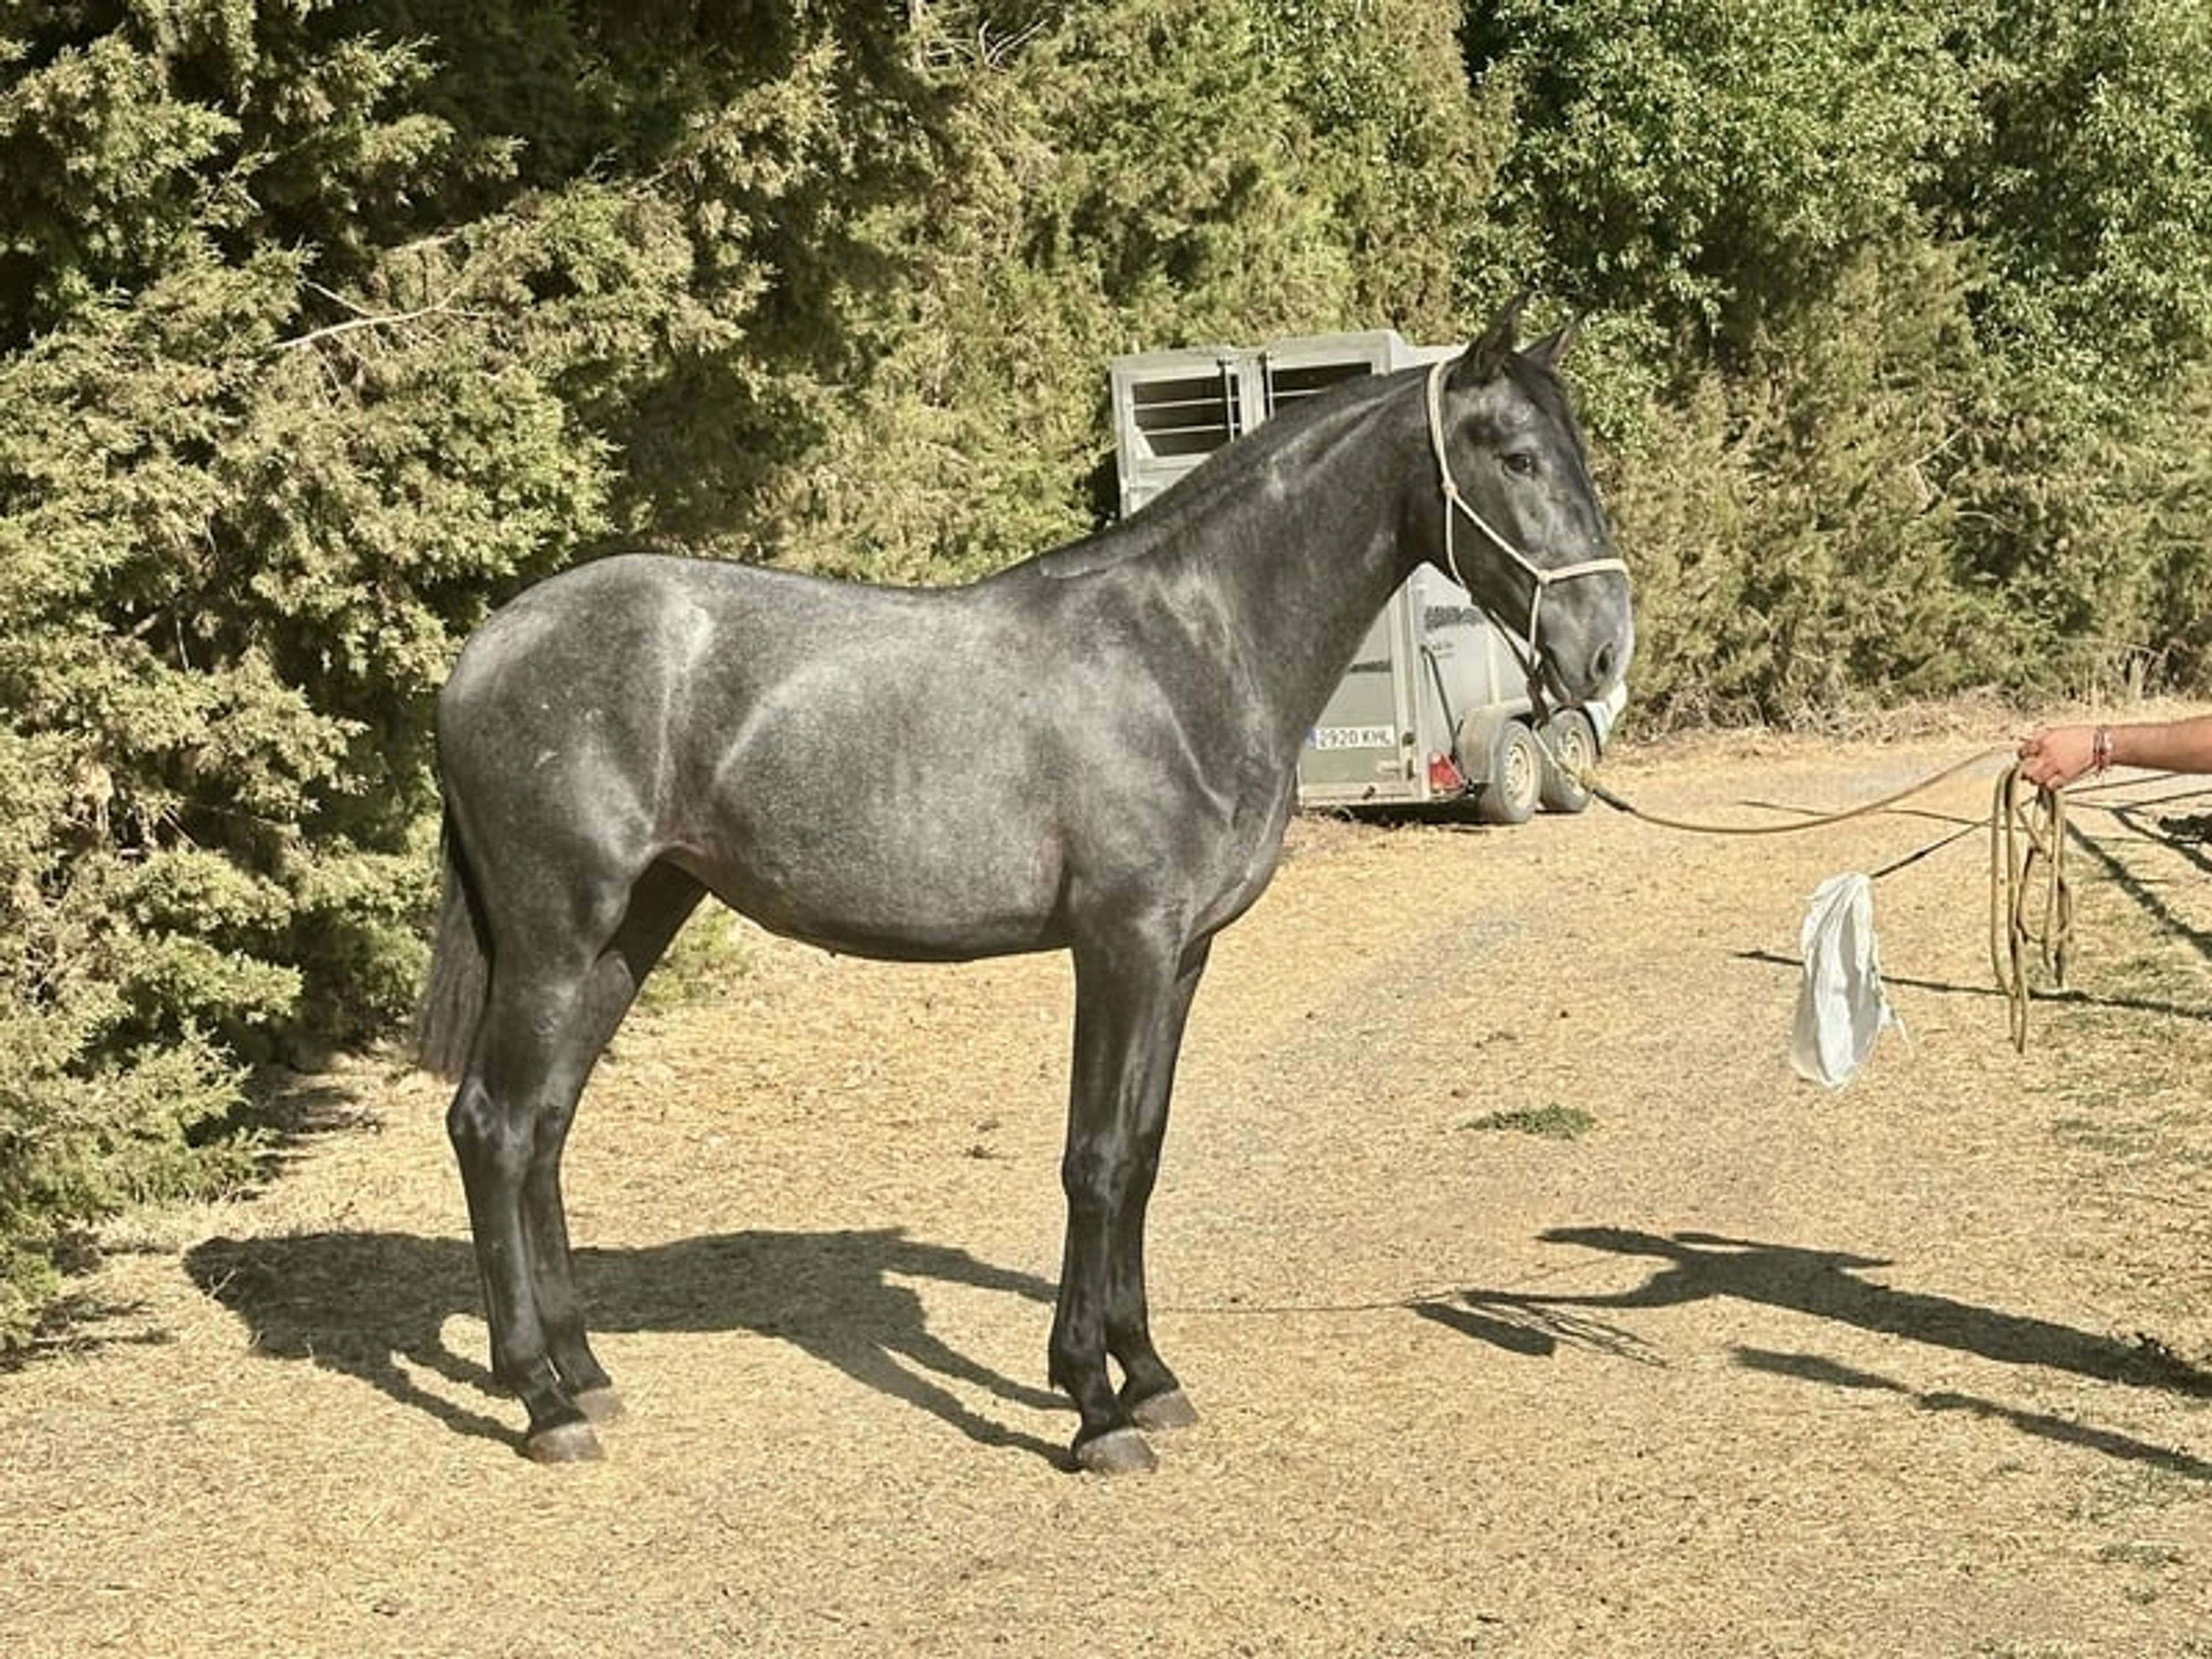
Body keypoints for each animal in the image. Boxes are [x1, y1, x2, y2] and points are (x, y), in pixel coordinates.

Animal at [416, 295, 1633, 1474]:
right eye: (1517, 456)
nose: (1604, 651)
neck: (1185, 654)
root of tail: (483, 651)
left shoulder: (1182, 957)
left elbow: (1142, 1156)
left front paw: (1150, 1377)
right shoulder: (1121, 943)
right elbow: (1095, 1159)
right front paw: (1095, 1409)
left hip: (634, 927)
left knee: (546, 1126)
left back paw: (587, 1374)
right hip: (555, 937)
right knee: (492, 1126)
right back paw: (540, 1401)